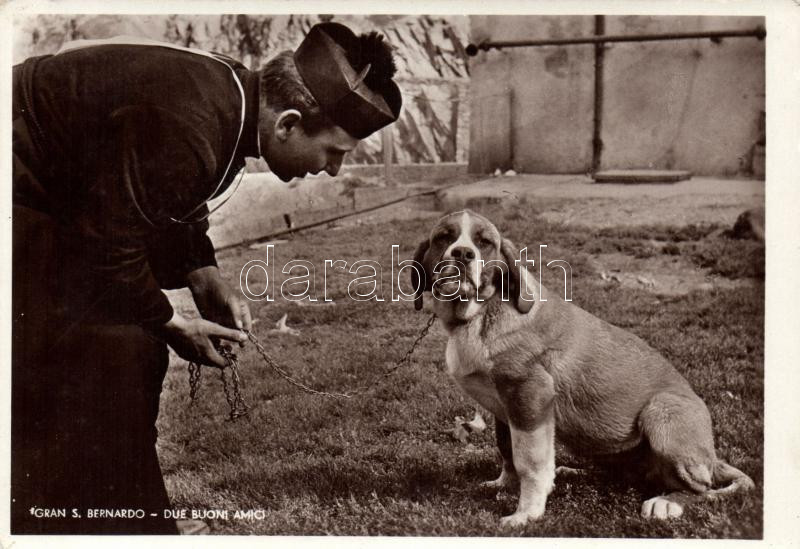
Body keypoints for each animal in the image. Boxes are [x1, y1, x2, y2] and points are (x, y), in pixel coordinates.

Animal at [410, 210, 752, 528]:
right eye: (444, 237)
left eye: (484, 243)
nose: (462, 254)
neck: (481, 313)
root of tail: (712, 456)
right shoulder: (505, 410)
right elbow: (507, 450)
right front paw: (504, 484)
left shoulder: (530, 398)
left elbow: (529, 461)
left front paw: (526, 513)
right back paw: (571, 472)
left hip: (661, 411)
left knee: (702, 489)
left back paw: (669, 502)